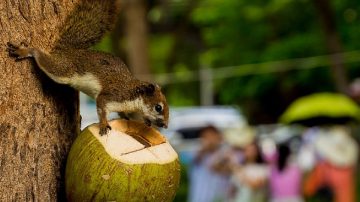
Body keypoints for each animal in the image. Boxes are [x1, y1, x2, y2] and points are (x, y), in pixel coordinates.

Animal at [5, 0, 169, 136]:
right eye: (158, 107)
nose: (165, 125)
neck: (132, 94)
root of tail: (70, 51)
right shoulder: (113, 95)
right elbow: (102, 107)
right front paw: (104, 124)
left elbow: (121, 113)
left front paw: (127, 118)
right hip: (64, 69)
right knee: (44, 60)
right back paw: (27, 51)